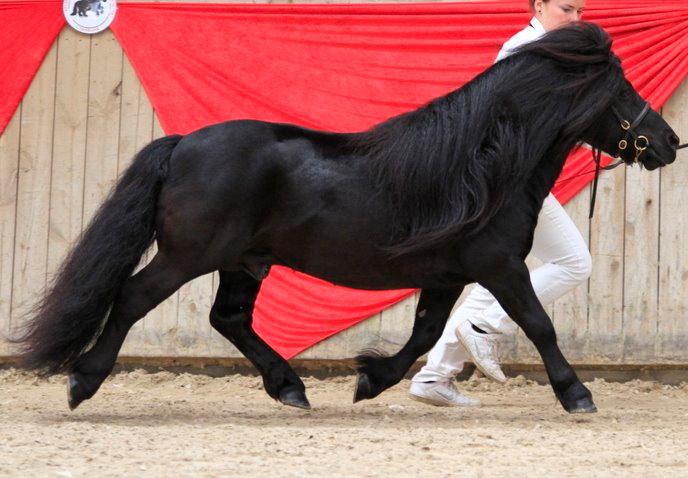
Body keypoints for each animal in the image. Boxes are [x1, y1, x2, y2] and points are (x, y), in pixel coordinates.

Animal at [13, 22, 680, 412]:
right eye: (621, 91)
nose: (670, 141)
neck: (485, 163)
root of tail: (182, 144)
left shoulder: (446, 274)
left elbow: (424, 333)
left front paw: (370, 380)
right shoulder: (500, 266)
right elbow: (540, 324)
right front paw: (578, 394)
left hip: (242, 262)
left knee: (228, 318)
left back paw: (290, 387)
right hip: (187, 256)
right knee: (131, 298)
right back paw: (82, 382)